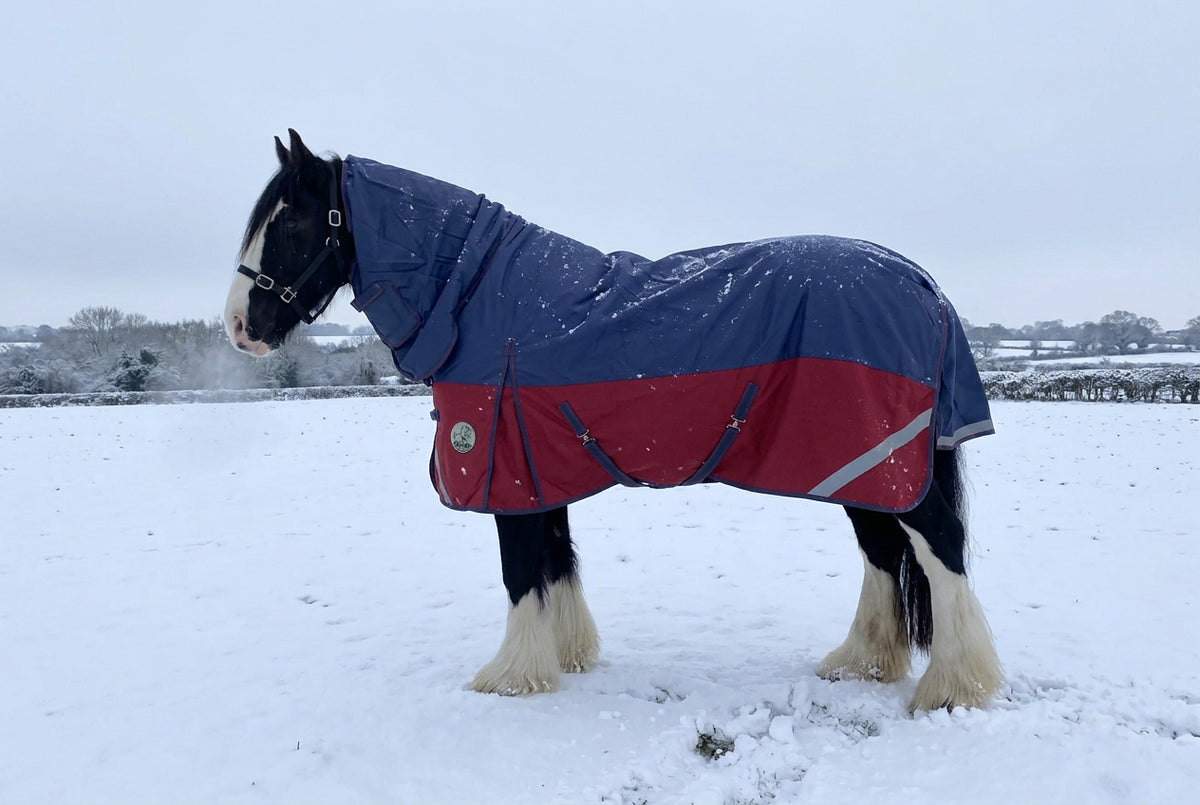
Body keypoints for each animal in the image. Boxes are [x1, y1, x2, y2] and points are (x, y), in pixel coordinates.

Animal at [224, 129, 1002, 712]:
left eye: (292, 222)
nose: (239, 327)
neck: (478, 296)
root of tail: (921, 282)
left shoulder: (505, 465)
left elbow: (519, 570)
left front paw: (509, 677)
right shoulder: (538, 465)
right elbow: (555, 560)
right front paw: (564, 656)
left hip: (883, 462)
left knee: (939, 548)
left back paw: (953, 686)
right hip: (856, 466)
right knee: (883, 553)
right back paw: (860, 662)